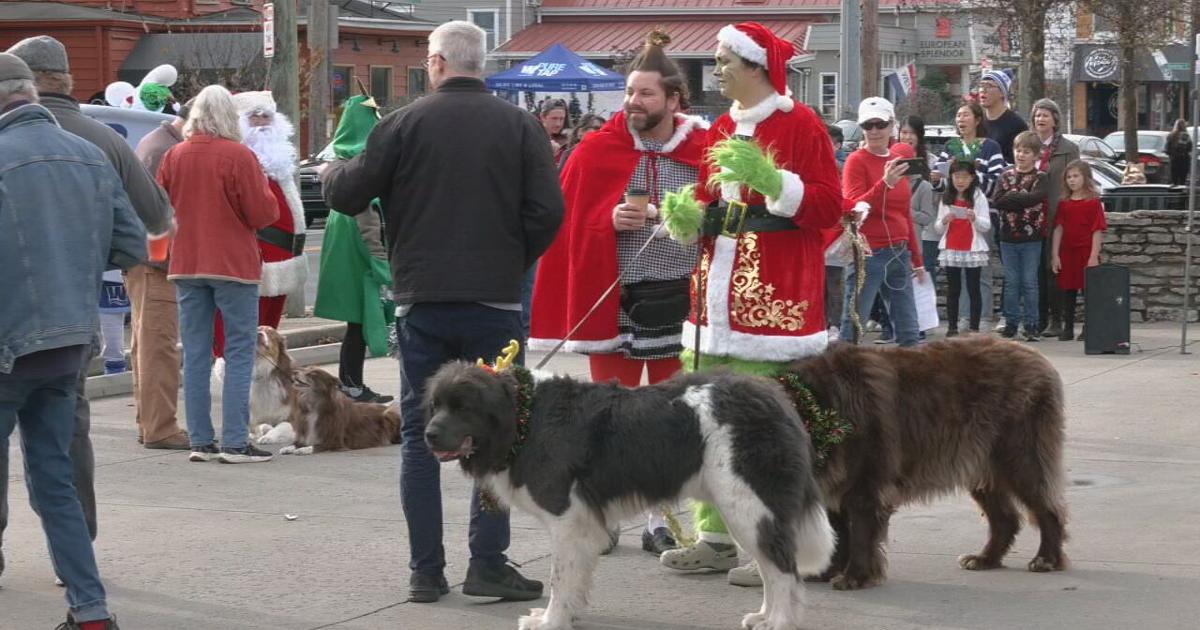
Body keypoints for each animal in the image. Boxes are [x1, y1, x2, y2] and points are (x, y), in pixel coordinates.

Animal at [424, 360, 835, 628]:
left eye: (464, 407)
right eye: (436, 405)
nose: (429, 434)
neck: (524, 417)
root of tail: (773, 397)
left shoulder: (565, 517)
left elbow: (560, 576)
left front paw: (551, 620)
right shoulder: (581, 522)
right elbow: (575, 576)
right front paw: (568, 613)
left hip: (747, 504)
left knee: (782, 568)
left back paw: (778, 621)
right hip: (744, 508)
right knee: (770, 567)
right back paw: (763, 615)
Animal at [787, 338, 1070, 590]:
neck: (819, 407)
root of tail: (1037, 357)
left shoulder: (865, 481)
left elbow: (859, 531)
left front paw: (855, 577)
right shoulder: (835, 478)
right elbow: (839, 530)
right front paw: (829, 571)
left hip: (1020, 455)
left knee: (1046, 507)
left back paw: (1046, 559)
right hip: (981, 462)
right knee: (1005, 518)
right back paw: (984, 559)